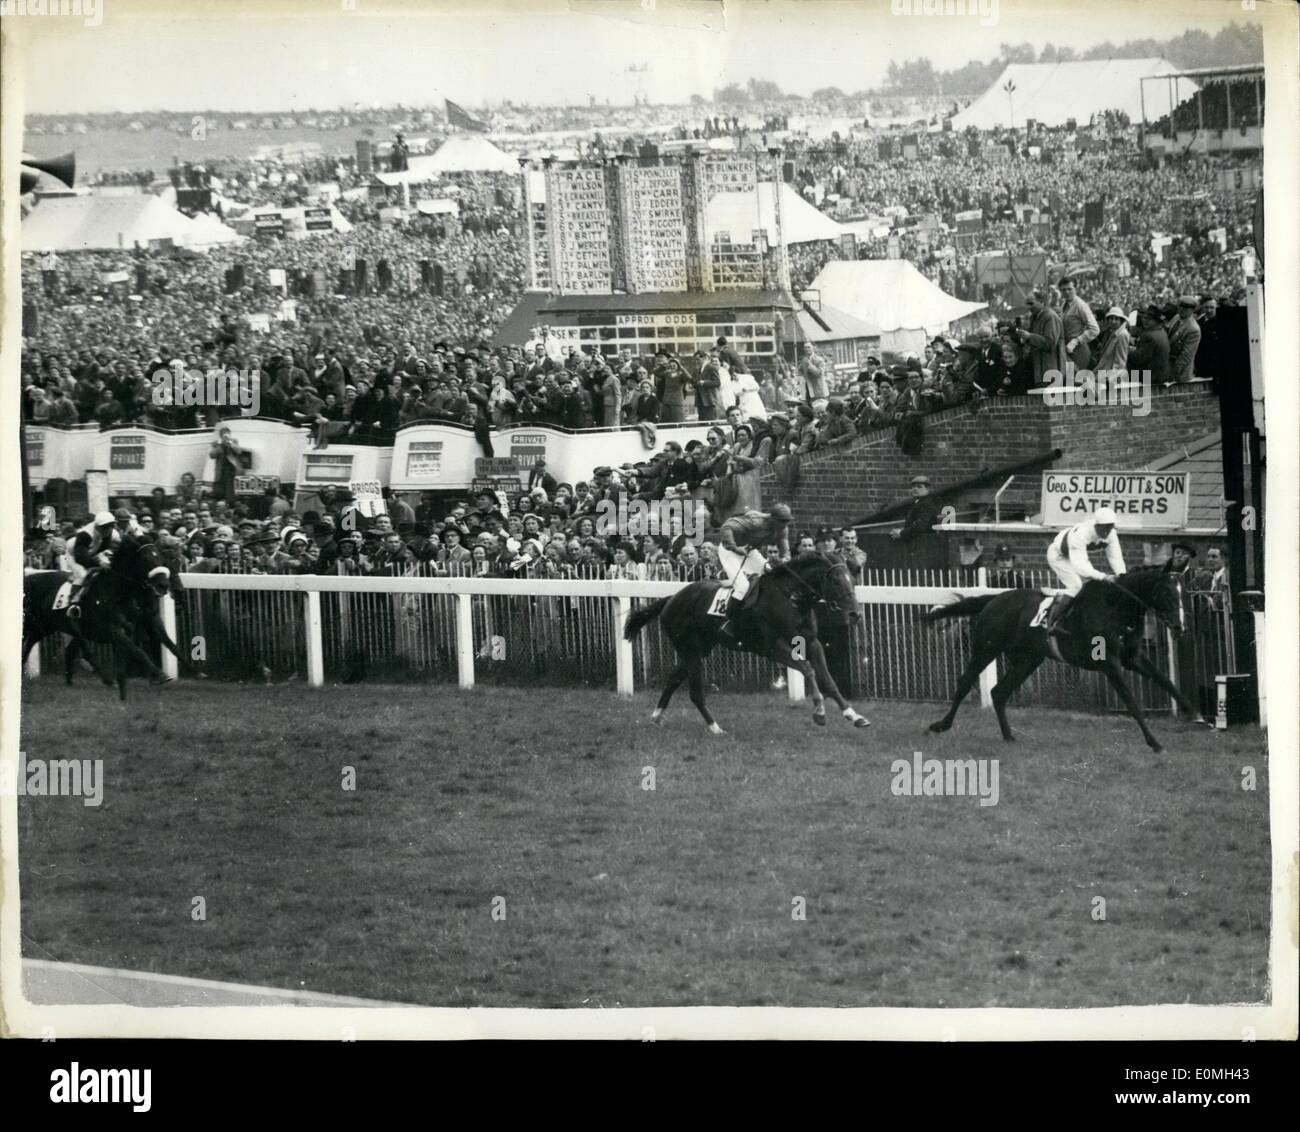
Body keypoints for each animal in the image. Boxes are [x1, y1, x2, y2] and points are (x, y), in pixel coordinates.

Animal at [925, 566, 1206, 753]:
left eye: (1183, 592)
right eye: (1166, 592)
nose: (1180, 627)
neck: (1116, 607)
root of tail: (994, 598)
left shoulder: (1134, 657)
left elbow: (1167, 682)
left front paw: (1197, 715)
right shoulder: (1110, 664)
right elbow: (1131, 701)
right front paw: (1155, 743)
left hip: (1028, 659)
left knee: (998, 692)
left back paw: (1009, 737)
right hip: (986, 648)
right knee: (965, 682)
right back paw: (941, 725)